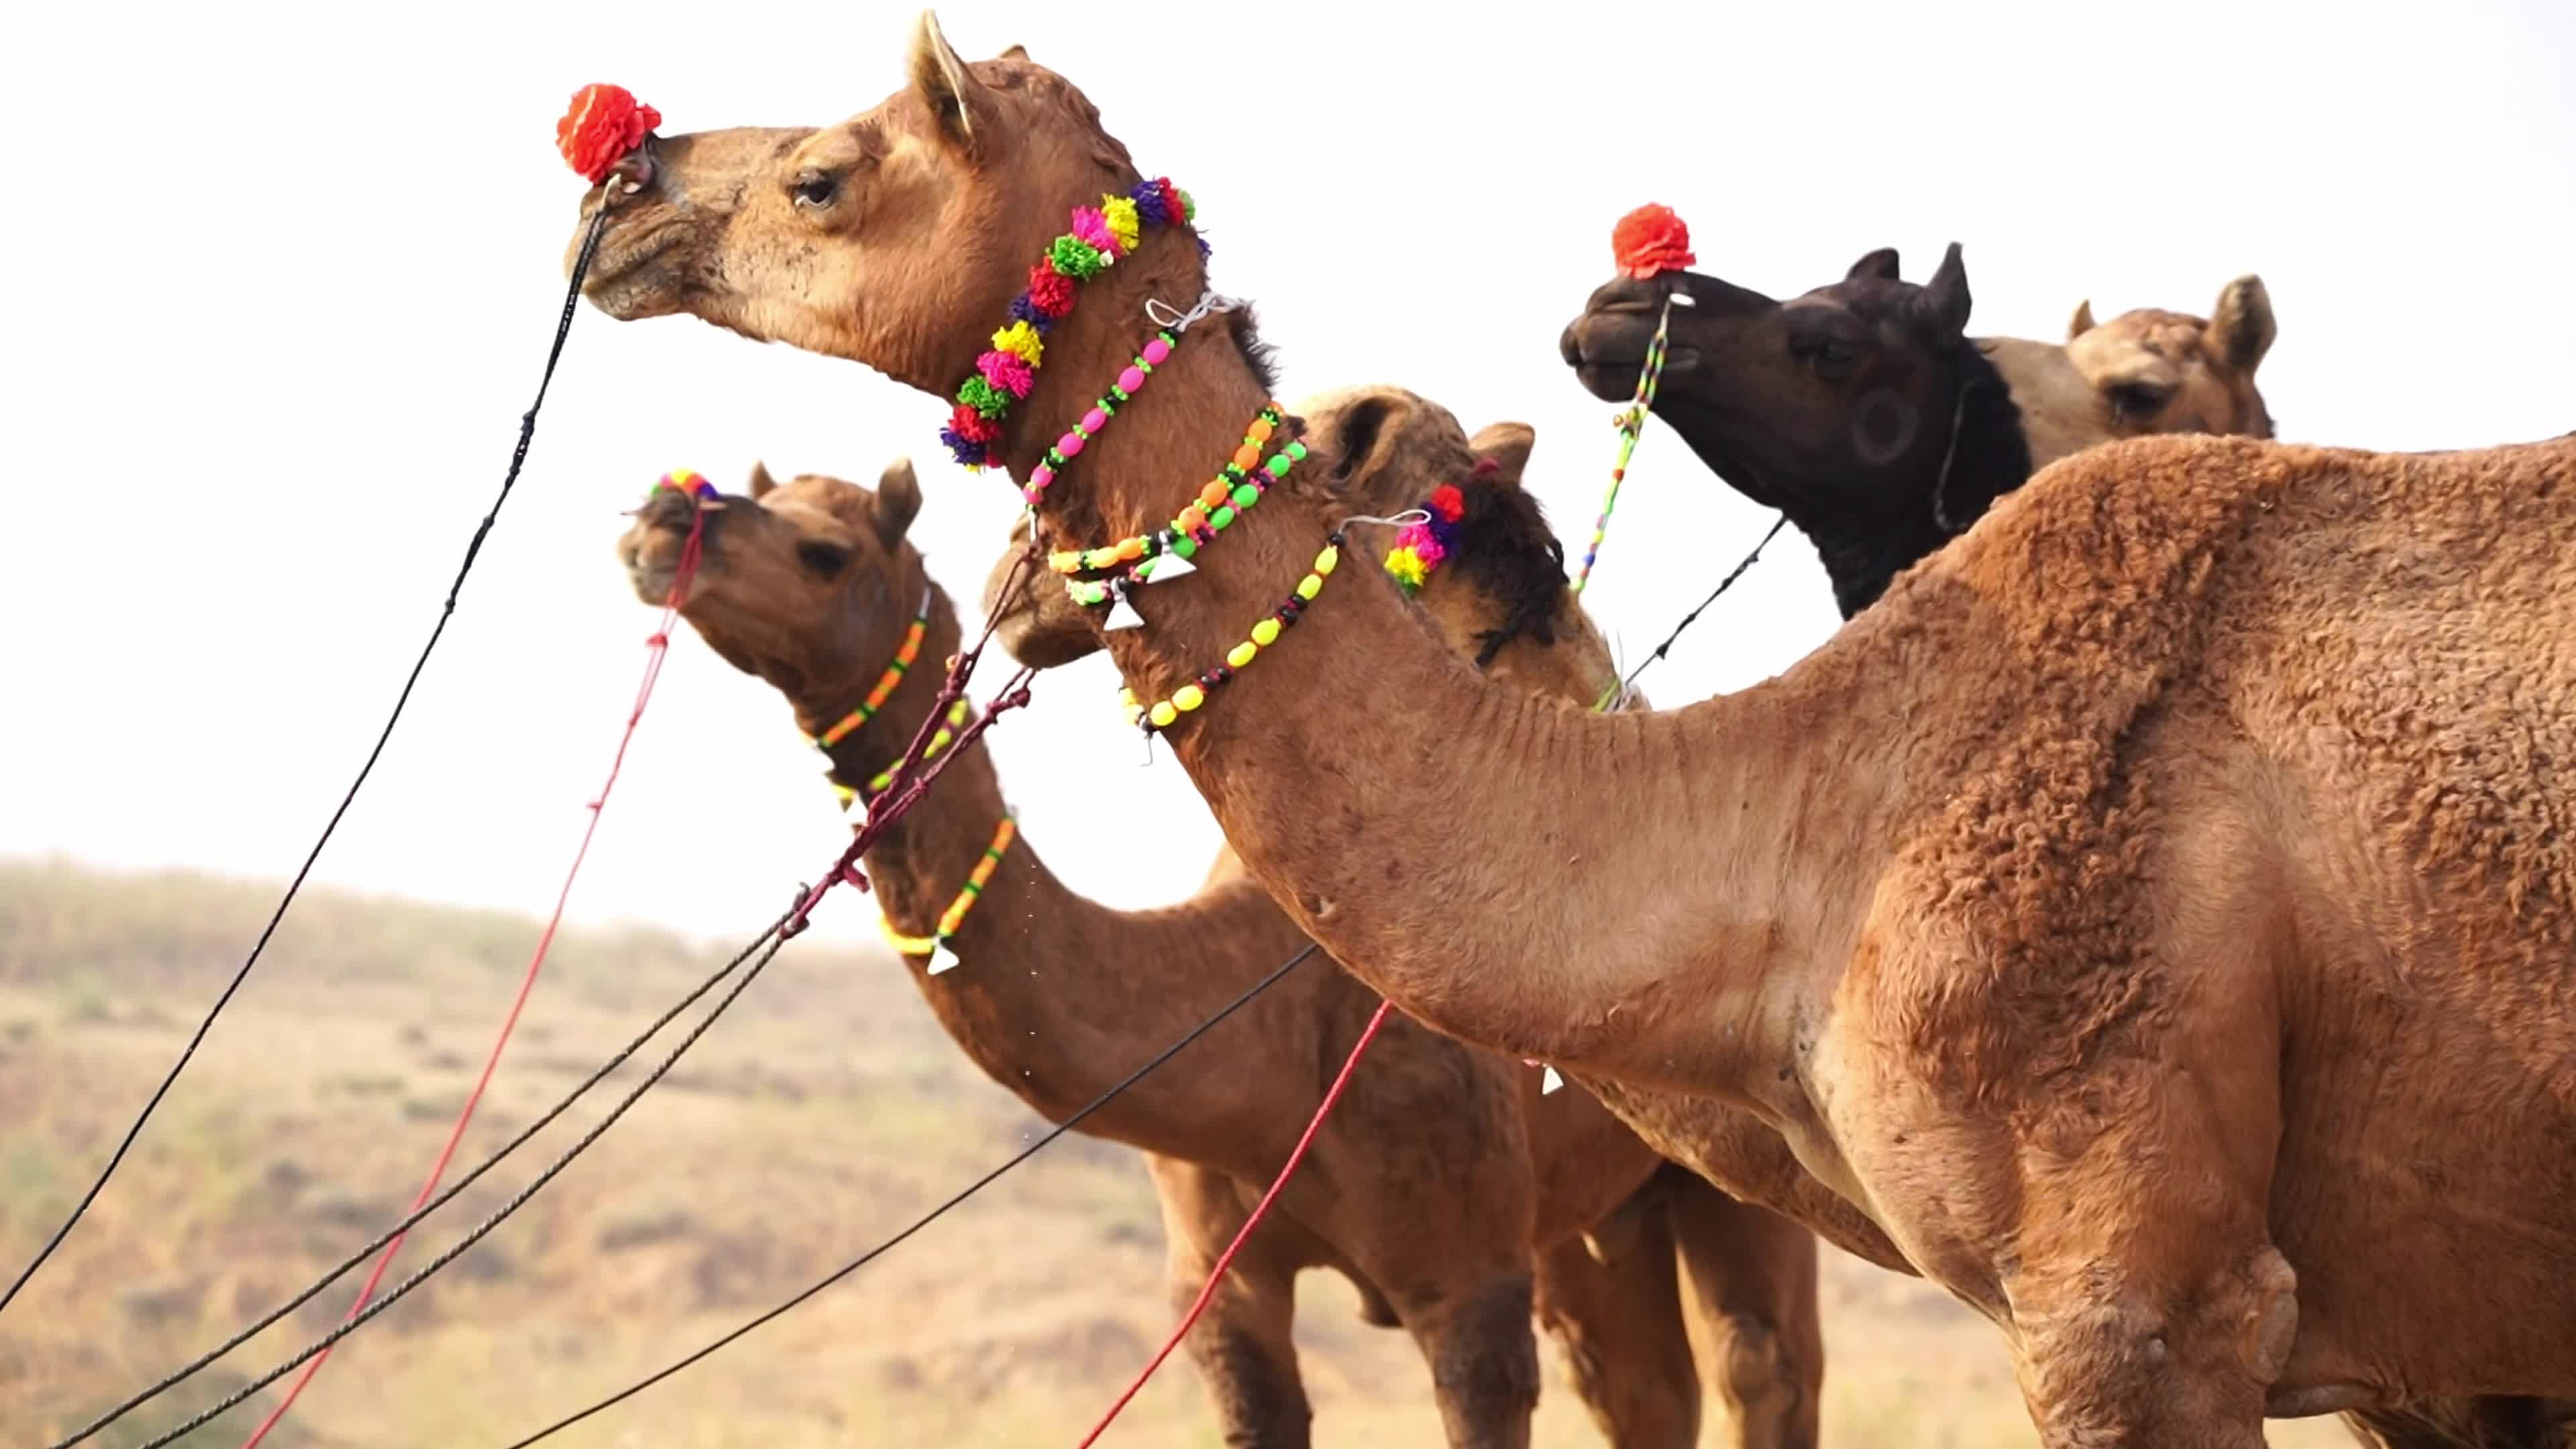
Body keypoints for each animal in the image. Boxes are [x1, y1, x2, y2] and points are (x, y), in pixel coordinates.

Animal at [613, 390, 1825, 1449]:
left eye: (826, 551)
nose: (668, 518)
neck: (1263, 1013)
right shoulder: (1221, 1284)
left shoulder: (1470, 1276)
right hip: (1599, 1216)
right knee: (1640, 1388)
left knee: (1762, 1362)